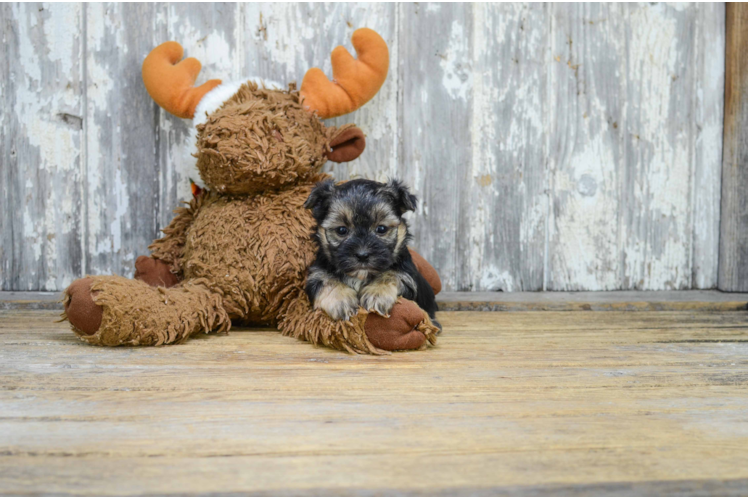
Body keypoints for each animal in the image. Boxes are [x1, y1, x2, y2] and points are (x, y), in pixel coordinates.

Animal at [302, 179, 438, 328]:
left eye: (382, 229)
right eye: (341, 230)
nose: (362, 255)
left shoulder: (407, 274)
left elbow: (392, 274)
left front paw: (376, 293)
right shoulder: (318, 272)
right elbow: (326, 280)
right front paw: (341, 300)